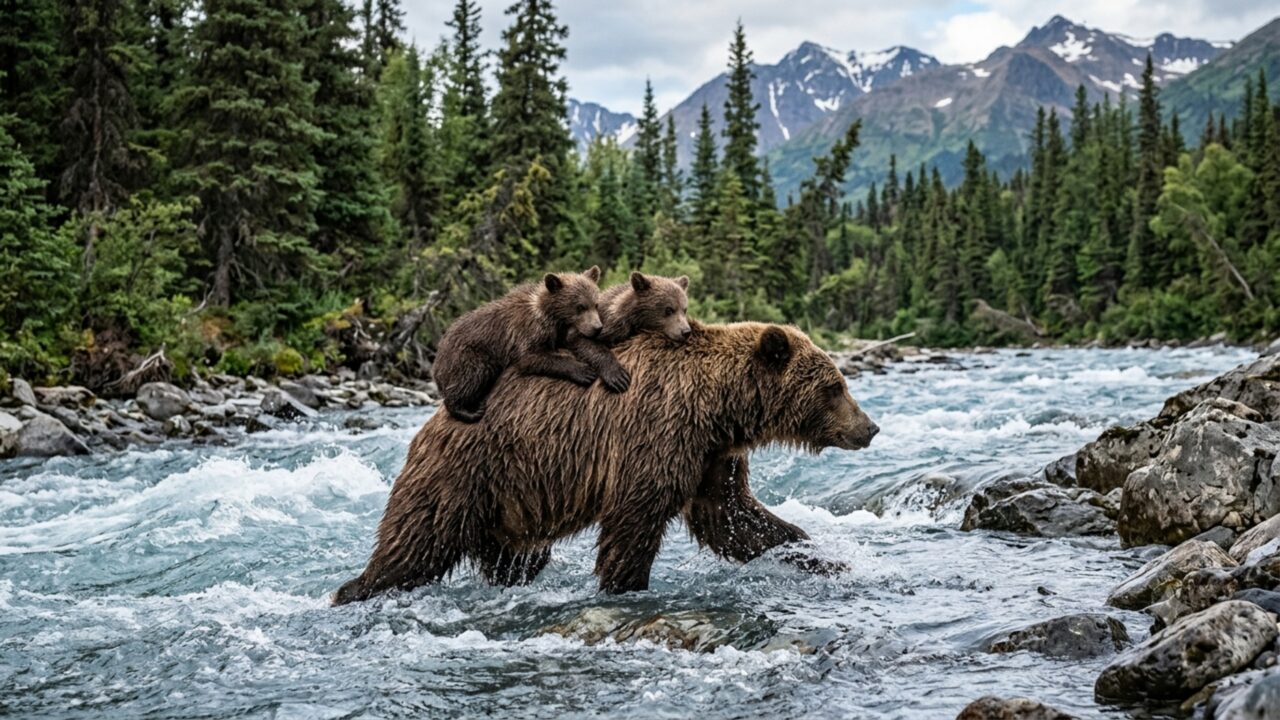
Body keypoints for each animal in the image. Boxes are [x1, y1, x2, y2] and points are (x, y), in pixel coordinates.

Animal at [333, 320, 879, 604]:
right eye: (835, 387)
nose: (869, 427)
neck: (719, 409)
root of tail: (432, 421)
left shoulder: (711, 456)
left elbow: (733, 518)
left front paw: (823, 556)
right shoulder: (657, 434)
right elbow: (636, 519)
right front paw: (624, 585)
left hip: (508, 505)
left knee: (515, 559)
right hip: (467, 474)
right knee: (415, 542)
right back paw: (355, 589)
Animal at [431, 266, 628, 423]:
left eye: (596, 304)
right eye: (580, 306)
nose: (597, 328)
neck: (549, 315)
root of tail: (437, 356)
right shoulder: (525, 331)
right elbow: (532, 357)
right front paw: (583, 371)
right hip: (468, 355)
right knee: (470, 377)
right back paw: (468, 411)